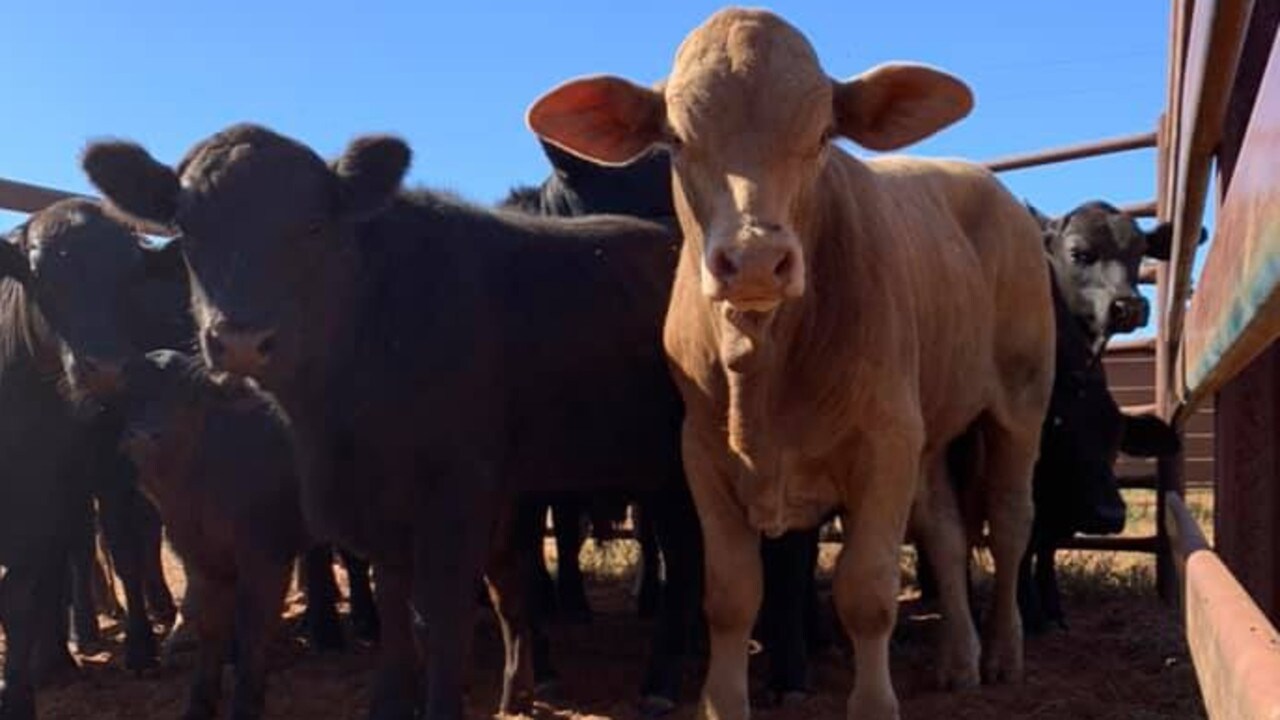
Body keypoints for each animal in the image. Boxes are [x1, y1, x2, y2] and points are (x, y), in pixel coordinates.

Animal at [116, 349, 325, 720]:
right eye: (130, 396)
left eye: (188, 397)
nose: (143, 437)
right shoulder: (201, 559)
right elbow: (210, 625)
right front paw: (199, 703)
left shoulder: (267, 558)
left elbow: (253, 625)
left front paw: (246, 703)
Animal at [527, 9, 1056, 720]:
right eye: (676, 138)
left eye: (824, 133)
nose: (754, 260)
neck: (764, 370)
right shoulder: (702, 454)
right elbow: (730, 596)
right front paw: (722, 701)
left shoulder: (884, 443)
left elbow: (867, 592)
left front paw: (873, 704)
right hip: (930, 428)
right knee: (945, 533)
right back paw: (959, 659)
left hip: (1021, 401)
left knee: (1009, 521)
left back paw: (1002, 652)